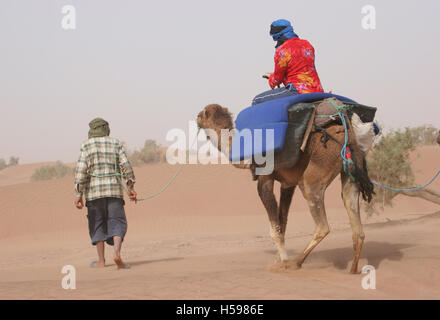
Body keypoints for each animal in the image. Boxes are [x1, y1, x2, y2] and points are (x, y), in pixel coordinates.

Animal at [198, 102, 372, 272]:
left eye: (202, 114)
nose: (197, 118)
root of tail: (347, 135)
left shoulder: (265, 178)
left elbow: (275, 227)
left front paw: (284, 262)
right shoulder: (288, 183)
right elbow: (283, 223)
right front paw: (279, 260)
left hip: (318, 169)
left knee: (322, 224)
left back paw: (296, 263)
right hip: (349, 172)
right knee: (356, 222)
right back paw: (353, 270)